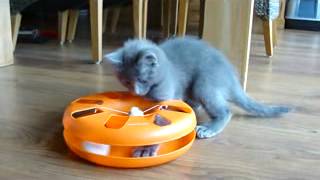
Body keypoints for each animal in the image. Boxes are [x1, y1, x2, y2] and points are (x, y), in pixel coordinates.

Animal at [104, 37, 290, 158]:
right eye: (127, 82)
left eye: (143, 80)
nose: (137, 92)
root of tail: (231, 78)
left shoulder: (167, 96)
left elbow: (160, 125)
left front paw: (147, 149)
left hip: (204, 84)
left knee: (225, 110)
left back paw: (208, 128)